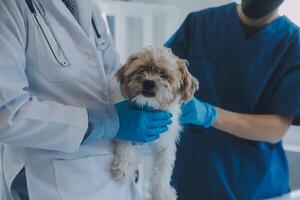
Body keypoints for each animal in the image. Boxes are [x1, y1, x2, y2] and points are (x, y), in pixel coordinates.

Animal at [110, 46, 199, 199]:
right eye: (141, 70)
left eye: (163, 74)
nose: (149, 82)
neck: (149, 108)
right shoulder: (131, 129)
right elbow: (125, 145)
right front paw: (123, 168)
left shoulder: (166, 145)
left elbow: (163, 171)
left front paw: (162, 193)